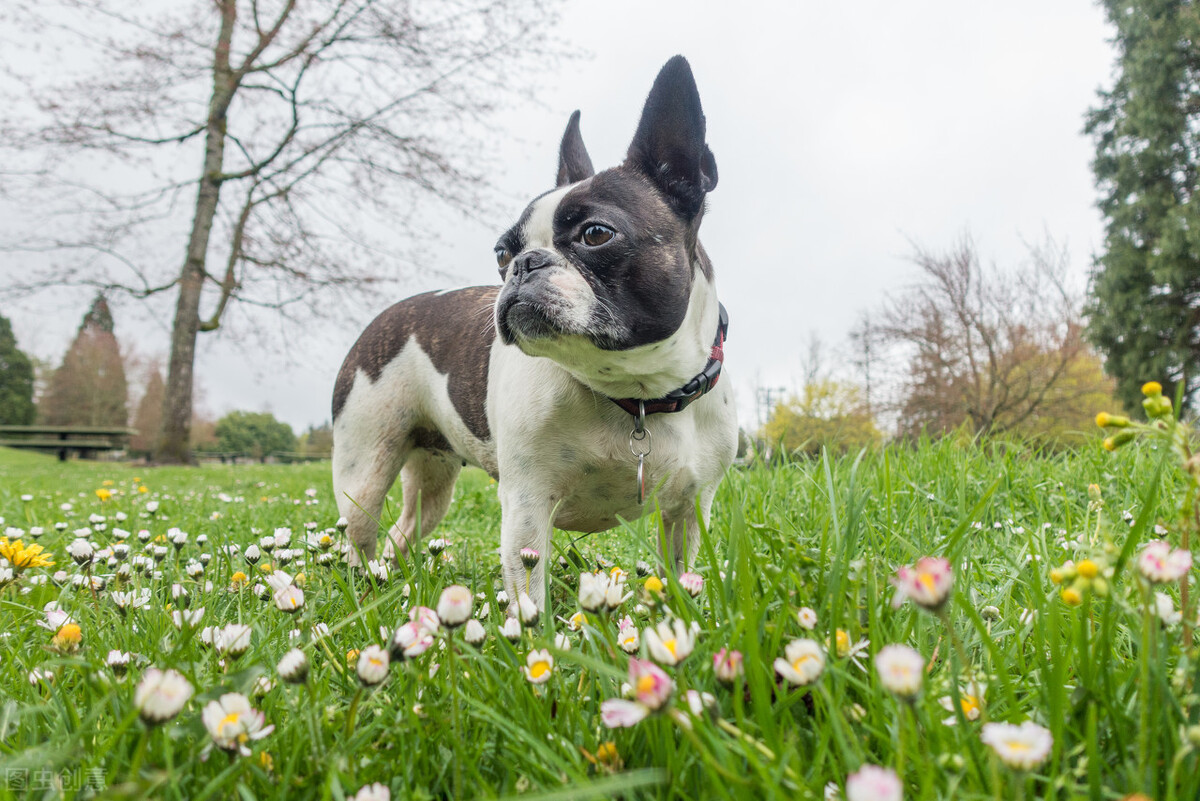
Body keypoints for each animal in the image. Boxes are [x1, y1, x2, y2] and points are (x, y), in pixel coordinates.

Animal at [333, 56, 734, 606]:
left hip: (433, 479)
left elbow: (681, 579)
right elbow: (529, 596)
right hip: (365, 462)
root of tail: (389, 314)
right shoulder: (527, 503)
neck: (639, 394)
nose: (524, 263)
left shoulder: (689, 510)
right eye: (503, 253)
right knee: (360, 529)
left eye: (596, 234)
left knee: (405, 530)